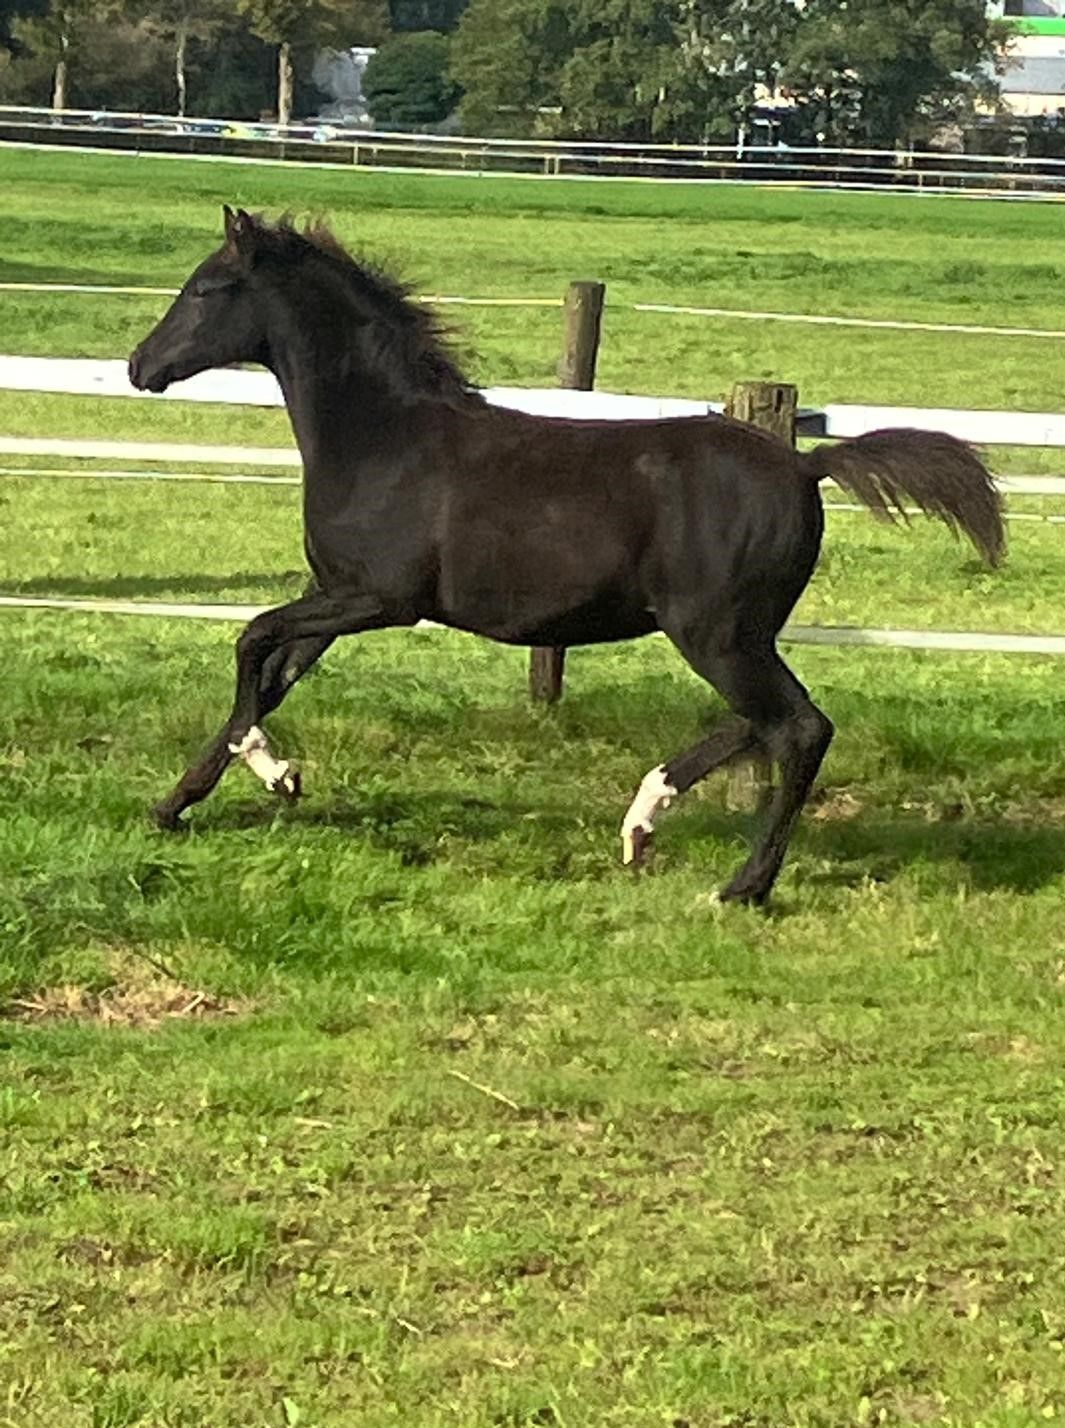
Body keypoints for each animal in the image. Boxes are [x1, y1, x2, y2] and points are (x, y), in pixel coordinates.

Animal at [128, 206, 1004, 906]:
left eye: (205, 289)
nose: (141, 366)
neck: (385, 438)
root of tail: (804, 465)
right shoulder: (338, 594)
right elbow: (272, 674)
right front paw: (194, 799)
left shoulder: (381, 599)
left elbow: (251, 640)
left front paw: (260, 773)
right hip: (737, 635)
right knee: (762, 721)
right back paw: (644, 822)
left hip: (714, 634)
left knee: (797, 728)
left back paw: (740, 884)